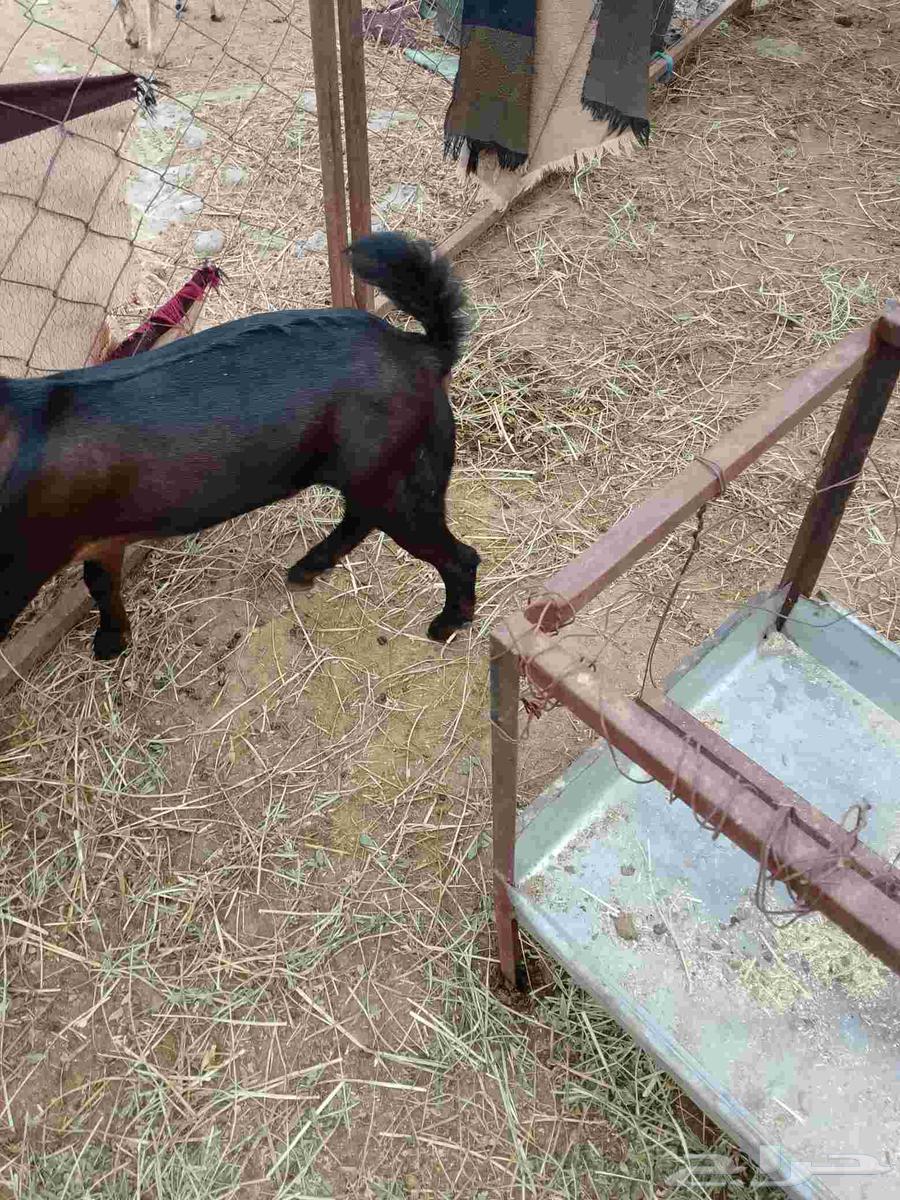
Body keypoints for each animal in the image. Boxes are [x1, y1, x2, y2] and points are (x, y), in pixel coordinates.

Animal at [0, 233, 479, 660]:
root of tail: (424, 351)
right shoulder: (99, 537)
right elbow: (101, 582)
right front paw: (112, 641)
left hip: (395, 476)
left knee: (460, 557)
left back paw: (444, 626)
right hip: (383, 475)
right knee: (361, 520)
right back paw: (306, 568)